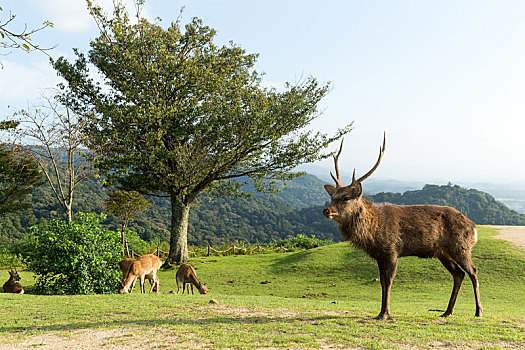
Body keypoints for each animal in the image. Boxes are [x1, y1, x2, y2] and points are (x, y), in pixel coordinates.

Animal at [322, 134, 482, 320]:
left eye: (346, 197)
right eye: (332, 196)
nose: (326, 210)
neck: (372, 232)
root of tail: (474, 228)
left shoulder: (392, 250)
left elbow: (389, 281)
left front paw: (385, 313)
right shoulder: (380, 255)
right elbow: (382, 281)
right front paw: (380, 312)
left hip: (461, 247)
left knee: (473, 271)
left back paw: (478, 311)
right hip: (443, 252)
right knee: (459, 274)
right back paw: (447, 311)